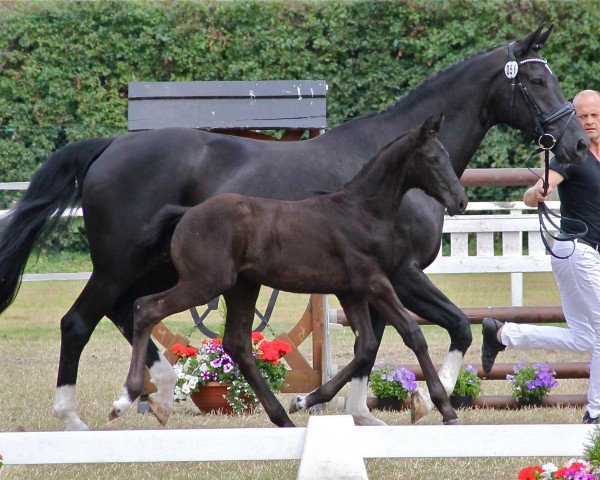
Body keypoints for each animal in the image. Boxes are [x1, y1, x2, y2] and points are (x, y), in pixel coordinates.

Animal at [111, 116, 468, 428]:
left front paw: (304, 400)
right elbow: (413, 333)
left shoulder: (351, 291)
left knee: (237, 344)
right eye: (433, 159)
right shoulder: (376, 282)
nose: (461, 201)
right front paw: (444, 407)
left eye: (446, 157)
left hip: (241, 287)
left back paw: (282, 416)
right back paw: (125, 399)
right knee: (145, 308)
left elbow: (366, 346)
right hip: (205, 283)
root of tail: (186, 214)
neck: (361, 211)